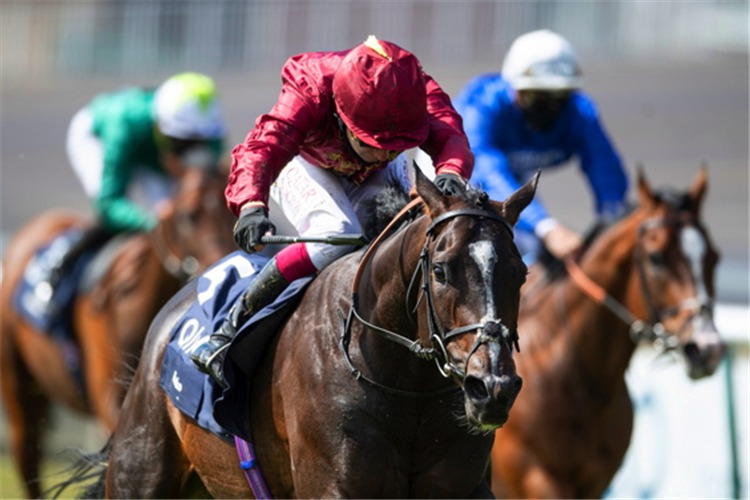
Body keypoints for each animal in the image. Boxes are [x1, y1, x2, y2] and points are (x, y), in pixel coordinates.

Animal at [0, 166, 236, 498]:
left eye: (230, 210)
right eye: (188, 215)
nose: (223, 265)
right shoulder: (111, 399)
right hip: (18, 390)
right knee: (28, 459)